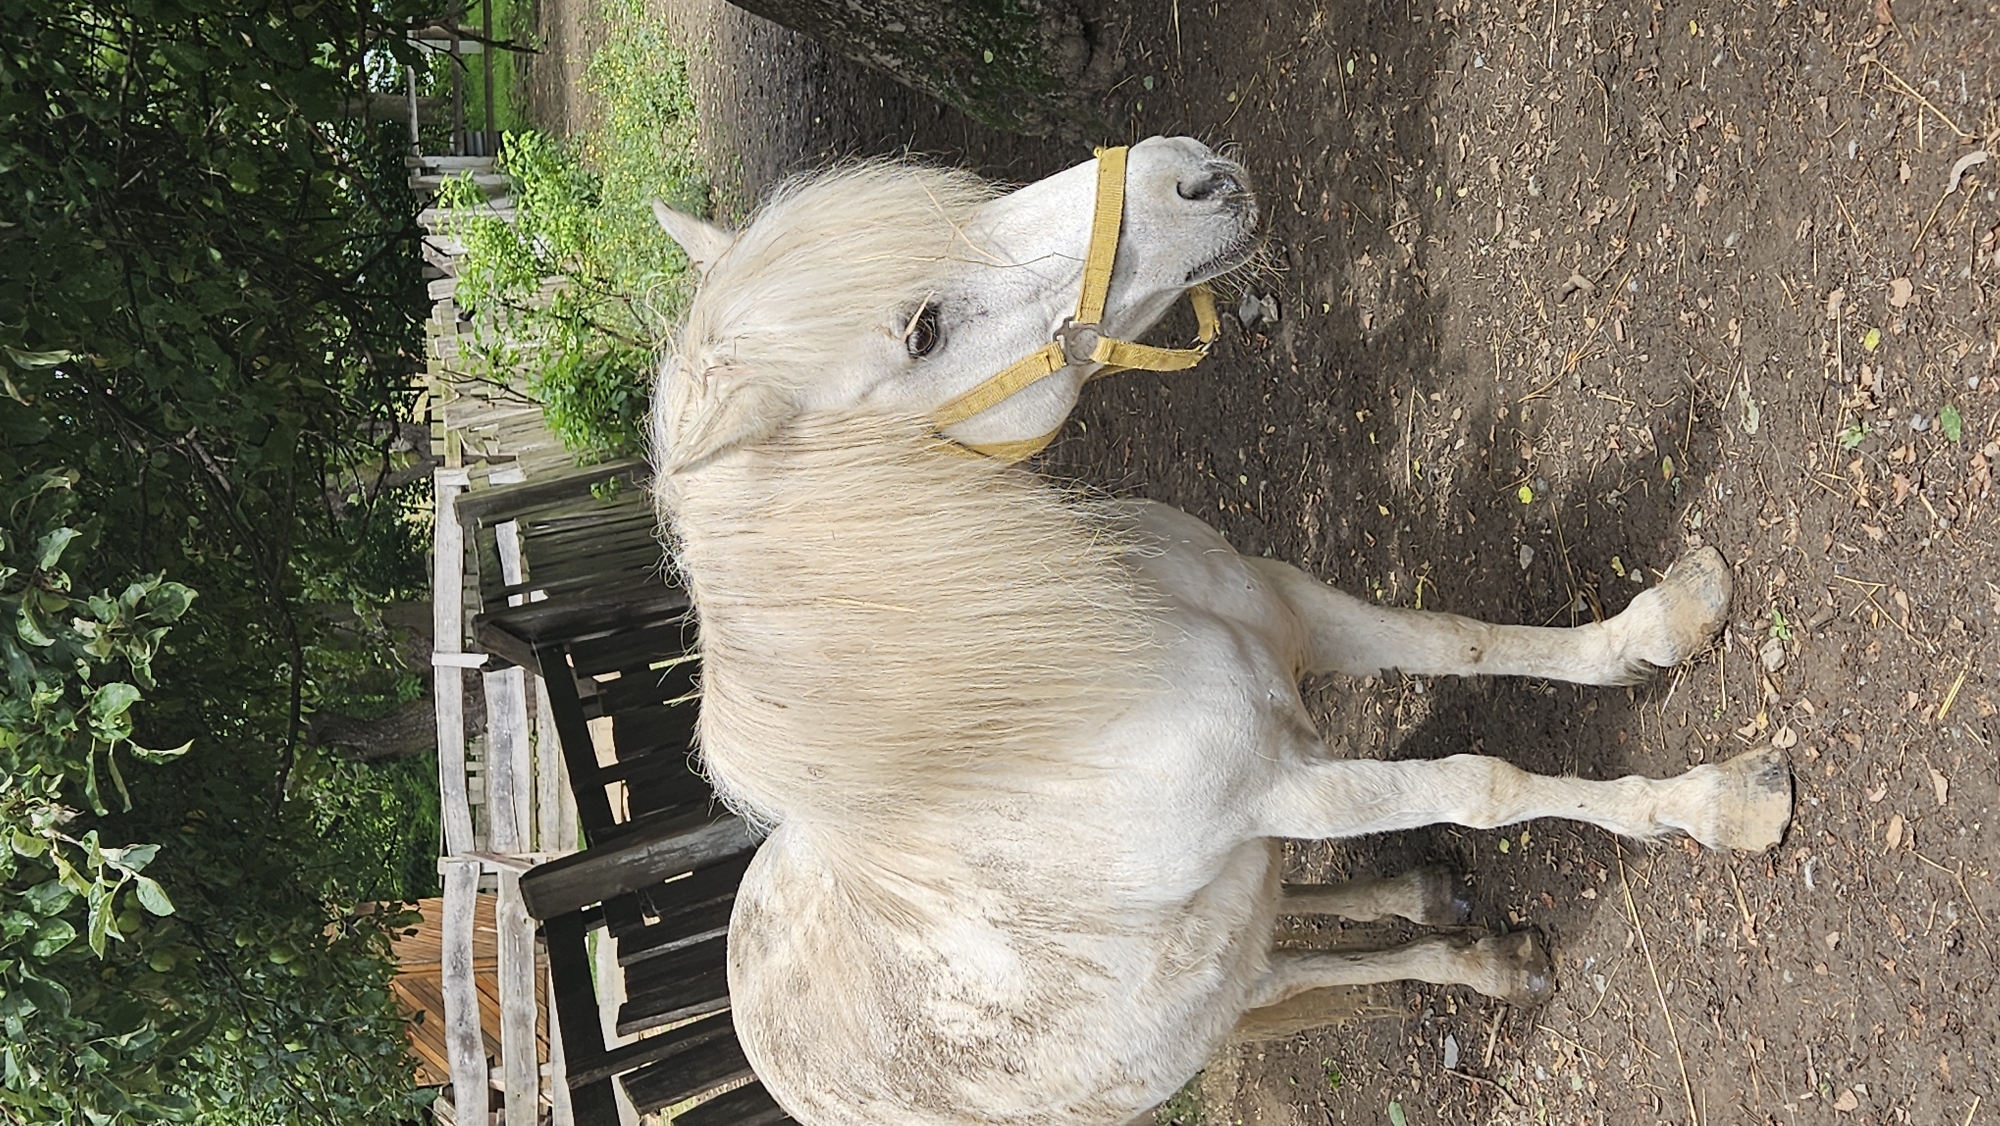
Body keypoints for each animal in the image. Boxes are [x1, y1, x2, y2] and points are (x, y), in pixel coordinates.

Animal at [645, 136, 1791, 1126]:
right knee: (1302, 962)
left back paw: (1436, 901)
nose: (1190, 176)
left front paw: (1667, 620)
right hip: (1206, 1007)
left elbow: (1459, 637)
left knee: (1295, 918)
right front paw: (1721, 802)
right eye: (923, 329)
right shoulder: (1282, 789)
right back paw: (1491, 963)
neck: (1071, 691)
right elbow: (1484, 782)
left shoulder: (1295, 613)